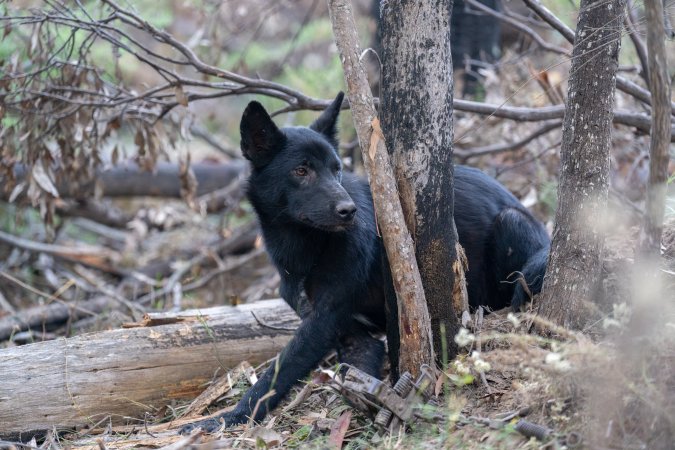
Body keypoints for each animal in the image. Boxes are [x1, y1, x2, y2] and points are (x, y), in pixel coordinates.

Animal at [181, 91, 548, 432]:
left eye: (337, 169)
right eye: (301, 171)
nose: (349, 211)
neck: (307, 248)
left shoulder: (324, 321)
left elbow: (275, 376)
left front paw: (226, 419)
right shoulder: (347, 332)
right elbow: (354, 366)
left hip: (511, 223)